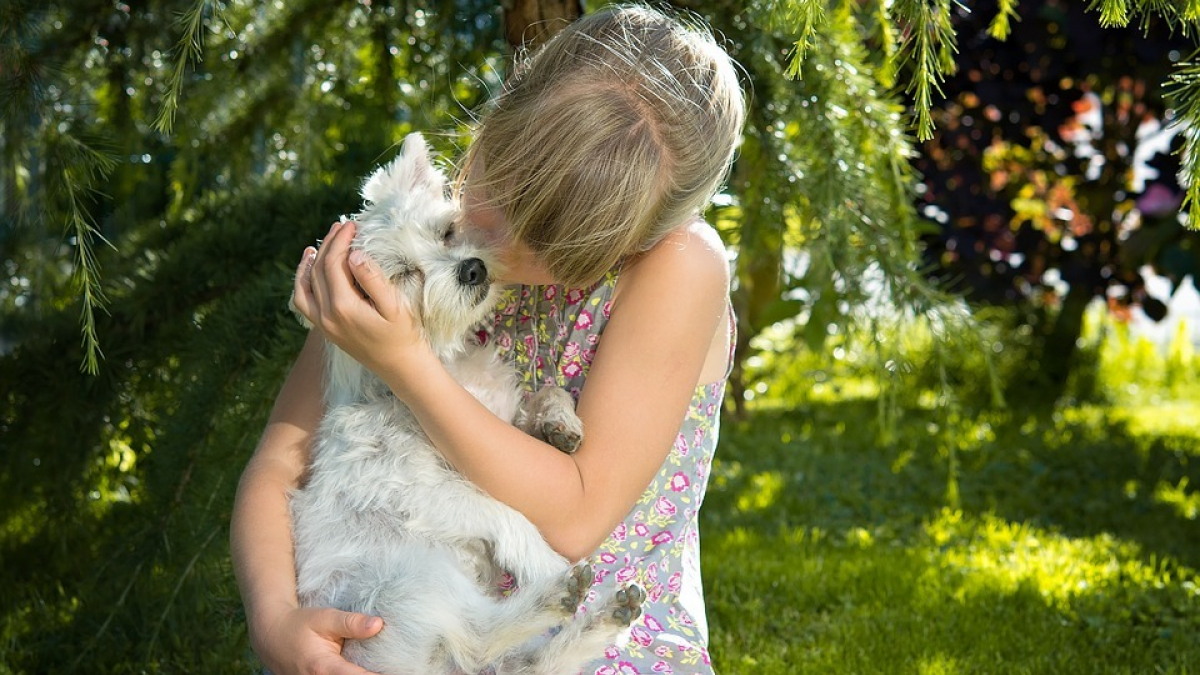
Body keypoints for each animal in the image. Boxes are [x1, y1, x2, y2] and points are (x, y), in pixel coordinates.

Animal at [288, 132, 648, 672]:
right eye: (404, 274)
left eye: (447, 231)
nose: (472, 269)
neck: (447, 369)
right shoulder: (420, 491)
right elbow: (503, 512)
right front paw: (543, 559)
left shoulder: (499, 423)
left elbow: (544, 393)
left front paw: (560, 423)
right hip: (409, 584)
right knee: (481, 635)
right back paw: (559, 592)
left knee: (527, 661)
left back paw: (604, 618)